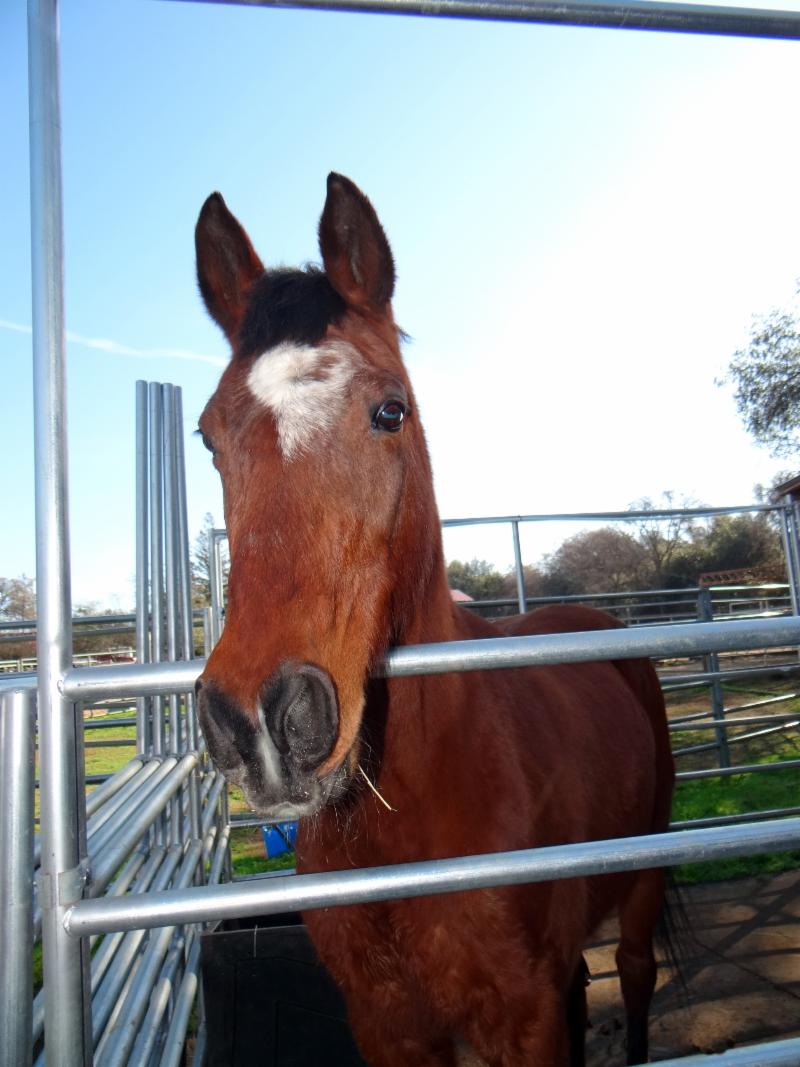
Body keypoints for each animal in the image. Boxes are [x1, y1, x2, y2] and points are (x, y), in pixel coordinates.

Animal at [193, 173, 675, 1067]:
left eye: (391, 410)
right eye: (207, 435)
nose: (261, 719)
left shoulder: (523, 1018)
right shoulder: (387, 1024)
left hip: (646, 875)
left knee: (633, 969)